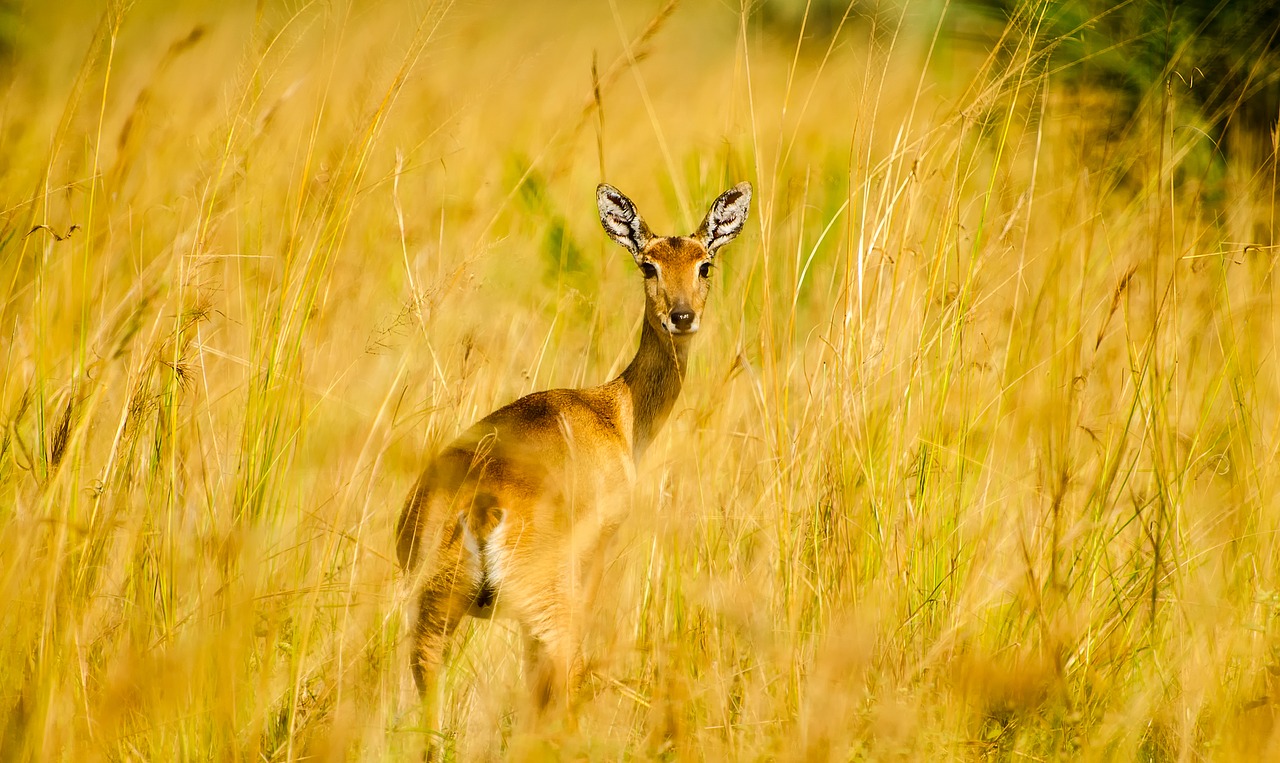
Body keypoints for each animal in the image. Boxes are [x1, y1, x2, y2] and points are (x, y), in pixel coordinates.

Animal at [389, 177, 747, 737]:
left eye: (704, 263)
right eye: (648, 264)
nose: (682, 316)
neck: (615, 411)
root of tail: (480, 507)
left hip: (433, 619)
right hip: (544, 608)